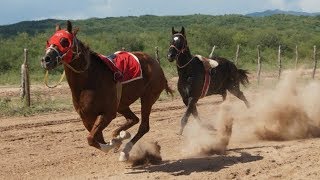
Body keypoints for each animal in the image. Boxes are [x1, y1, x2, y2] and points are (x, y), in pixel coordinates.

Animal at [42, 20, 174, 161]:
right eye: (49, 41)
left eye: (64, 41)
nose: (46, 59)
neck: (88, 81)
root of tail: (156, 64)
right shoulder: (86, 118)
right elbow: (96, 138)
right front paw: (117, 139)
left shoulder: (108, 113)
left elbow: (91, 139)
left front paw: (115, 143)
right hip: (121, 104)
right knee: (133, 119)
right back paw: (120, 135)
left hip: (147, 98)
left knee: (143, 126)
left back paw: (125, 151)